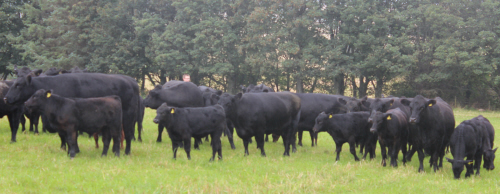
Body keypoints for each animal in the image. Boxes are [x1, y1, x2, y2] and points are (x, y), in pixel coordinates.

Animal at [3, 73, 141, 155]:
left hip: (128, 117)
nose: (5, 98)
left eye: (18, 85)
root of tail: (132, 81)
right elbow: (64, 136)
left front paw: (72, 150)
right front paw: (66, 148)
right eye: (13, 84)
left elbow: (69, 136)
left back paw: (126, 152)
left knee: (127, 134)